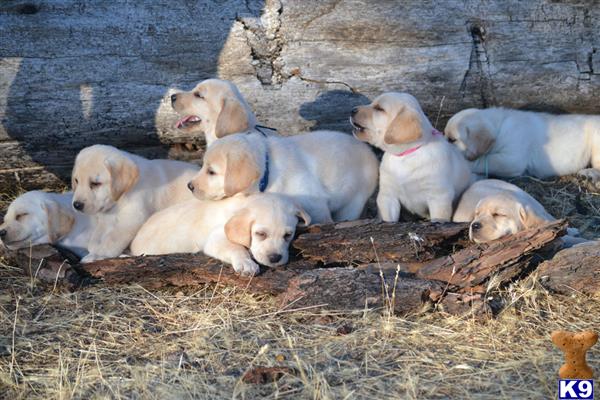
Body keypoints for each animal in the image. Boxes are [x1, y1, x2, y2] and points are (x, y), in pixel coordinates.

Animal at [130, 193, 310, 276]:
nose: (275, 258)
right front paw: (246, 264)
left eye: (288, 235)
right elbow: (236, 247)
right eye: (260, 234)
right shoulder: (215, 239)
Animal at [185, 130, 378, 222]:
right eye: (203, 165)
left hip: (354, 199)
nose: (190, 186)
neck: (268, 172)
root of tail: (370, 152)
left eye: (211, 171)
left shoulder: (316, 203)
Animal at [352, 91, 474, 222]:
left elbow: (438, 216)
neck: (406, 155)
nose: (352, 110)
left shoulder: (439, 197)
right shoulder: (388, 196)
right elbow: (387, 218)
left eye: (379, 109)